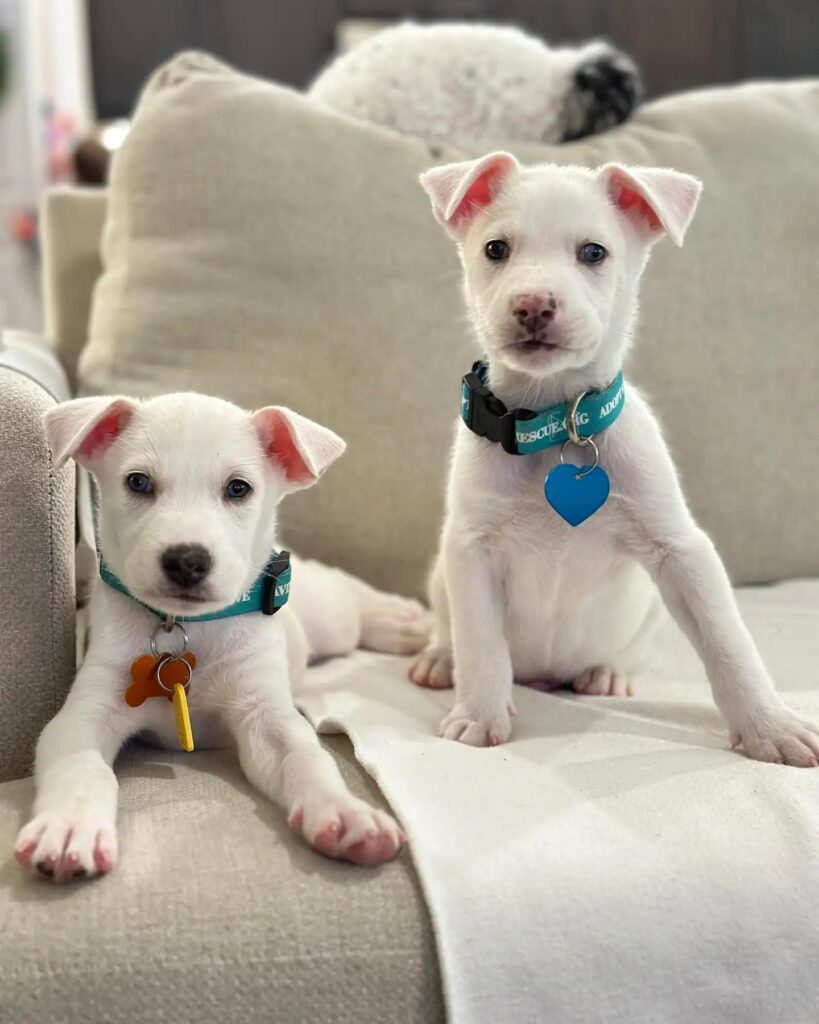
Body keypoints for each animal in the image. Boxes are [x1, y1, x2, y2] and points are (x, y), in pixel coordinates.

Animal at [15, 391, 432, 880]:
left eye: (238, 488)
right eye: (138, 482)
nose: (186, 560)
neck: (190, 628)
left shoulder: (265, 715)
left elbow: (308, 758)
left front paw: (346, 813)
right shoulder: (85, 712)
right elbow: (80, 767)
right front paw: (68, 826)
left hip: (333, 620)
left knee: (350, 596)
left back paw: (403, 622)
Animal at [409, 151, 819, 770]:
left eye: (593, 252)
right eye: (495, 249)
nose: (533, 304)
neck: (554, 424)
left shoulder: (682, 553)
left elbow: (727, 643)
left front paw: (769, 725)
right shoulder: (470, 552)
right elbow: (480, 642)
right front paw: (478, 714)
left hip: (647, 606)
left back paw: (606, 672)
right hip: (440, 573)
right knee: (447, 624)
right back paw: (440, 658)